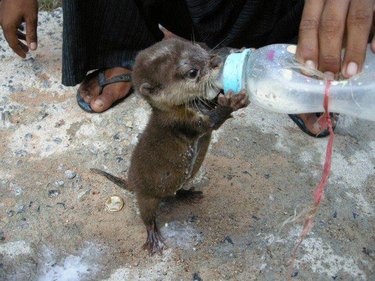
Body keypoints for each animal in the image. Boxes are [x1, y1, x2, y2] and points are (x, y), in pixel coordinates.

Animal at [92, 38, 248, 255]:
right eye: (192, 72)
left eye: (201, 47)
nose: (216, 59)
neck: (176, 109)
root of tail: (132, 183)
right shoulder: (181, 122)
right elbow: (211, 123)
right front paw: (232, 102)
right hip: (146, 197)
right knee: (147, 217)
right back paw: (153, 239)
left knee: (175, 191)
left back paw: (189, 194)